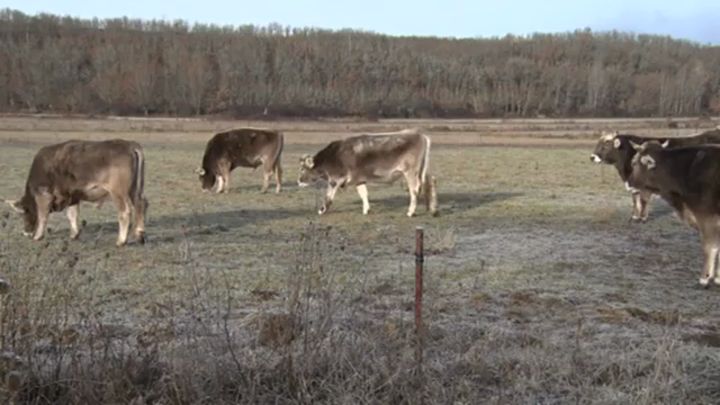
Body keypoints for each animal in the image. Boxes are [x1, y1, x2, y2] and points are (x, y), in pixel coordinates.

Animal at [3, 139, 148, 246]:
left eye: (24, 212)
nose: (25, 232)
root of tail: (129, 145)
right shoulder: (72, 196)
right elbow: (72, 214)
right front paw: (74, 234)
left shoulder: (43, 195)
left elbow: (43, 215)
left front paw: (38, 236)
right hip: (134, 189)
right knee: (141, 204)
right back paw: (139, 234)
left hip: (118, 192)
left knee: (125, 212)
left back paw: (121, 241)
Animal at [296, 129, 436, 218]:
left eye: (302, 169)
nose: (298, 181)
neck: (333, 156)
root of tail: (420, 135)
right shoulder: (359, 179)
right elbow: (363, 194)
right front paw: (366, 210)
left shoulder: (335, 180)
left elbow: (328, 196)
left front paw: (322, 210)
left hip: (411, 173)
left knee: (414, 190)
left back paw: (411, 212)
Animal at [592, 129, 720, 221]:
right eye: (597, 143)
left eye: (605, 145)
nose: (591, 157)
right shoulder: (633, 184)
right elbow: (635, 199)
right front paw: (635, 216)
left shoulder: (644, 186)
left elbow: (643, 200)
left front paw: (643, 217)